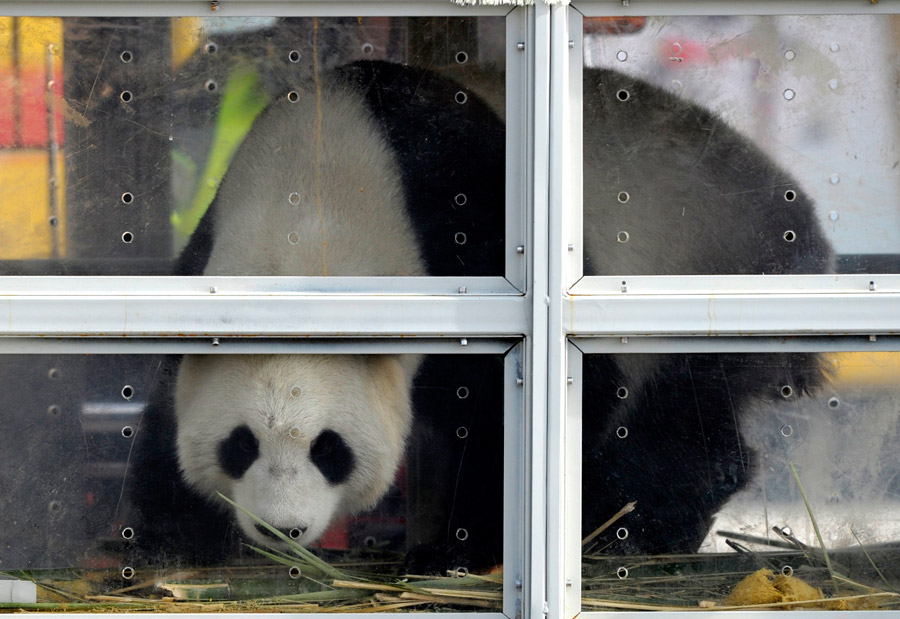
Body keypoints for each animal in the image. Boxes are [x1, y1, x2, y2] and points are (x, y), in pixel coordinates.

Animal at [126, 61, 828, 572]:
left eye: (330, 450)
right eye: (240, 444)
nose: (283, 528)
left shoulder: (465, 221)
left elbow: (548, 403)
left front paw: (456, 549)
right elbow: (167, 398)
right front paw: (174, 535)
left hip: (722, 263)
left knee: (682, 415)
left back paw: (628, 527)